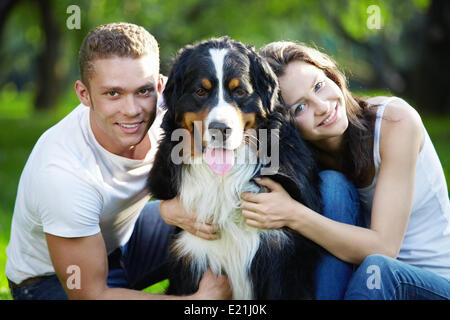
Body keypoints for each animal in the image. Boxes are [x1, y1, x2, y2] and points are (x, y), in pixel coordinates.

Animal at [149, 37, 324, 300]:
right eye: (201, 91)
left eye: (239, 91)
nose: (220, 129)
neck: (222, 181)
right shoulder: (191, 254)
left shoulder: (279, 255)